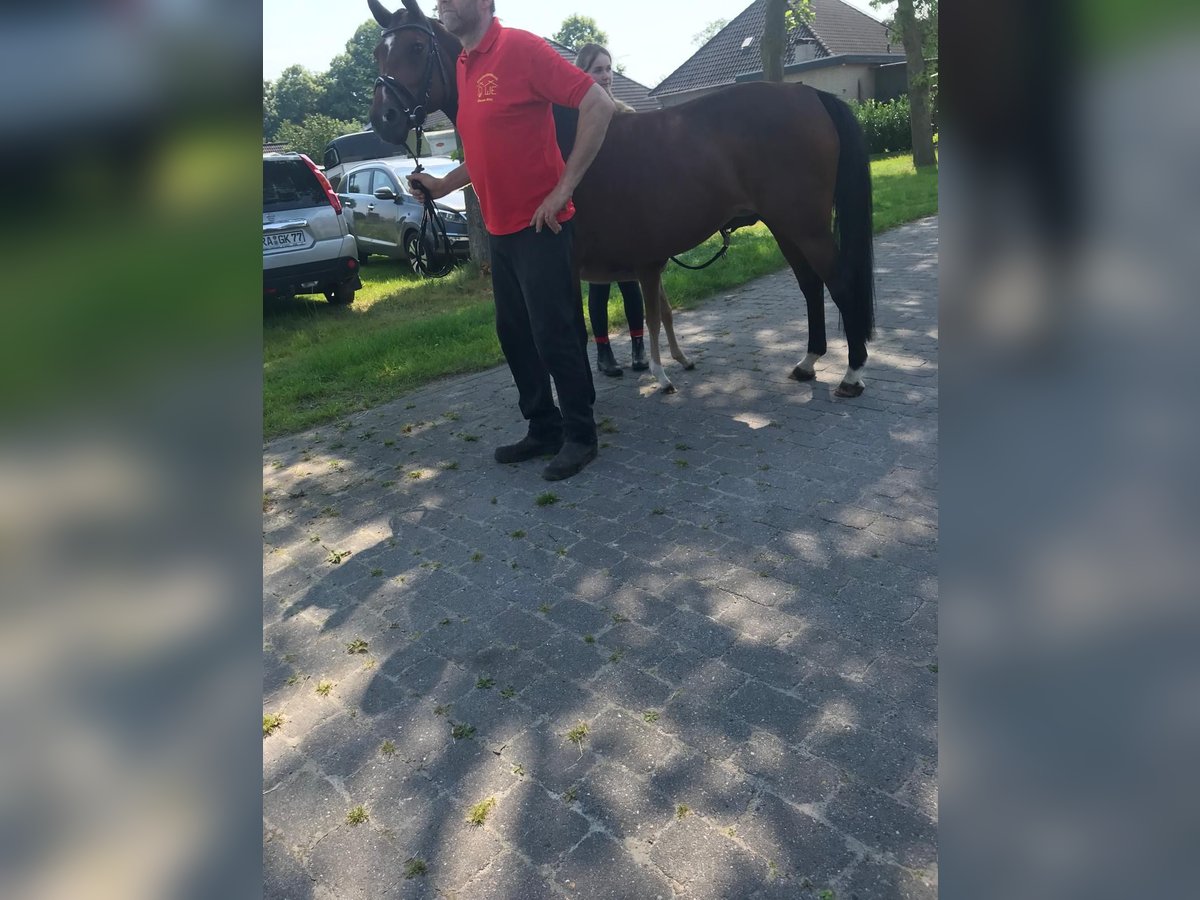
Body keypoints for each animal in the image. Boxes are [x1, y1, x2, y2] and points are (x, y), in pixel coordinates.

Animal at [364, 0, 873, 396]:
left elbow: (572, 329)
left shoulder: (565, 265)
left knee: (840, 282)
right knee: (810, 285)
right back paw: (808, 363)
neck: (559, 140)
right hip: (786, 225)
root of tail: (808, 94)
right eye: (377, 53)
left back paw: (851, 374)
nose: (385, 118)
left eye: (415, 48)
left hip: (805, 224)